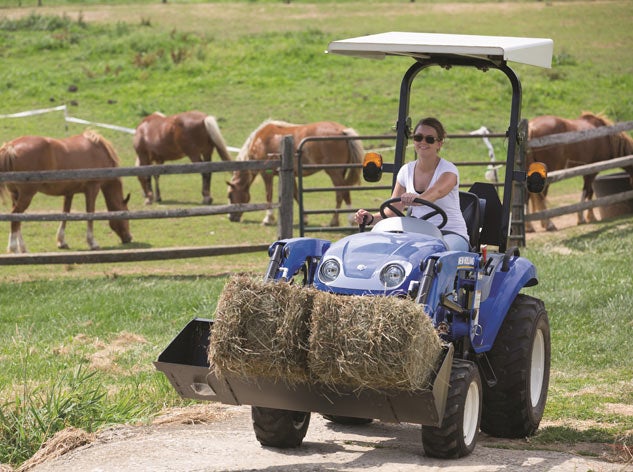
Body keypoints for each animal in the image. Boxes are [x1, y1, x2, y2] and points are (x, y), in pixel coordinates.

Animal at [0, 131, 132, 253]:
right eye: (126, 214)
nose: (129, 238)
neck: (98, 150)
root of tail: (11, 146)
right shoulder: (92, 188)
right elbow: (90, 213)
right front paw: (92, 242)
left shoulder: (69, 193)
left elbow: (65, 214)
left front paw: (61, 241)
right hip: (27, 195)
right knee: (15, 216)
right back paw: (13, 248)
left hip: (16, 195)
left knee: (17, 219)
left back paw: (23, 248)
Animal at [227, 120, 366, 227]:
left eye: (230, 195)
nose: (230, 218)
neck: (259, 141)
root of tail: (342, 131)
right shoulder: (292, 175)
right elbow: (295, 194)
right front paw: (304, 219)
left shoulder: (266, 174)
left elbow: (268, 195)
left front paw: (268, 219)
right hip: (340, 172)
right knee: (339, 194)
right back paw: (334, 221)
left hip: (334, 172)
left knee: (344, 192)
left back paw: (350, 220)